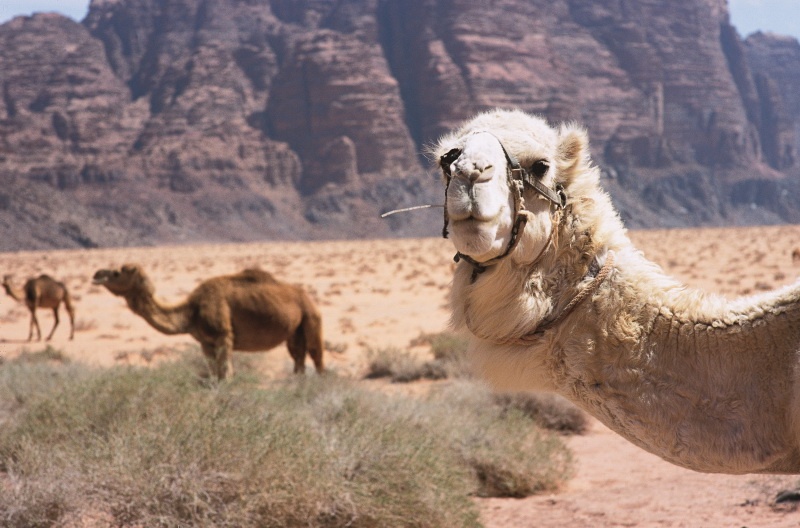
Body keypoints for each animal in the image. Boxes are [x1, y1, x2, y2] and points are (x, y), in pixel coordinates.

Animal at [94, 264, 328, 380]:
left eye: (117, 272)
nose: (96, 275)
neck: (192, 310)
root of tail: (307, 297)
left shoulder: (224, 336)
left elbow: (226, 373)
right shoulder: (206, 342)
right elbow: (214, 373)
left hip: (311, 318)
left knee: (316, 356)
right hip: (294, 331)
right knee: (298, 358)